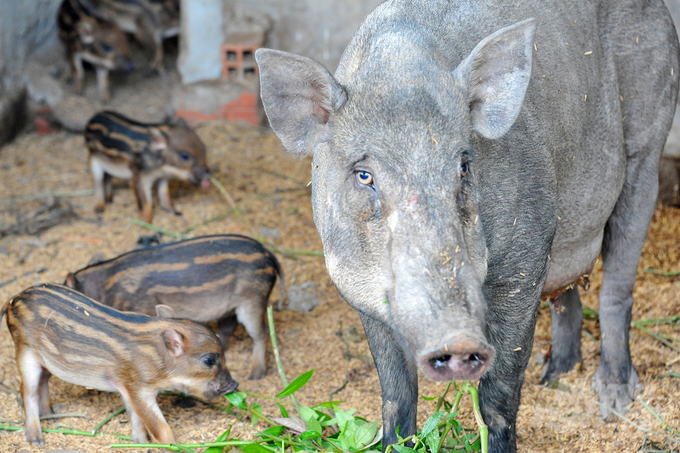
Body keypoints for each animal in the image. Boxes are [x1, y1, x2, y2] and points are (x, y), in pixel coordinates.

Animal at [256, 0, 680, 452]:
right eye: (364, 175)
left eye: (463, 166)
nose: (456, 337)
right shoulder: (359, 292)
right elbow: (395, 391)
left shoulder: (525, 258)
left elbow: (499, 391)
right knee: (567, 294)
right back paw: (555, 376)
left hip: (648, 134)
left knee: (617, 283)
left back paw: (613, 400)